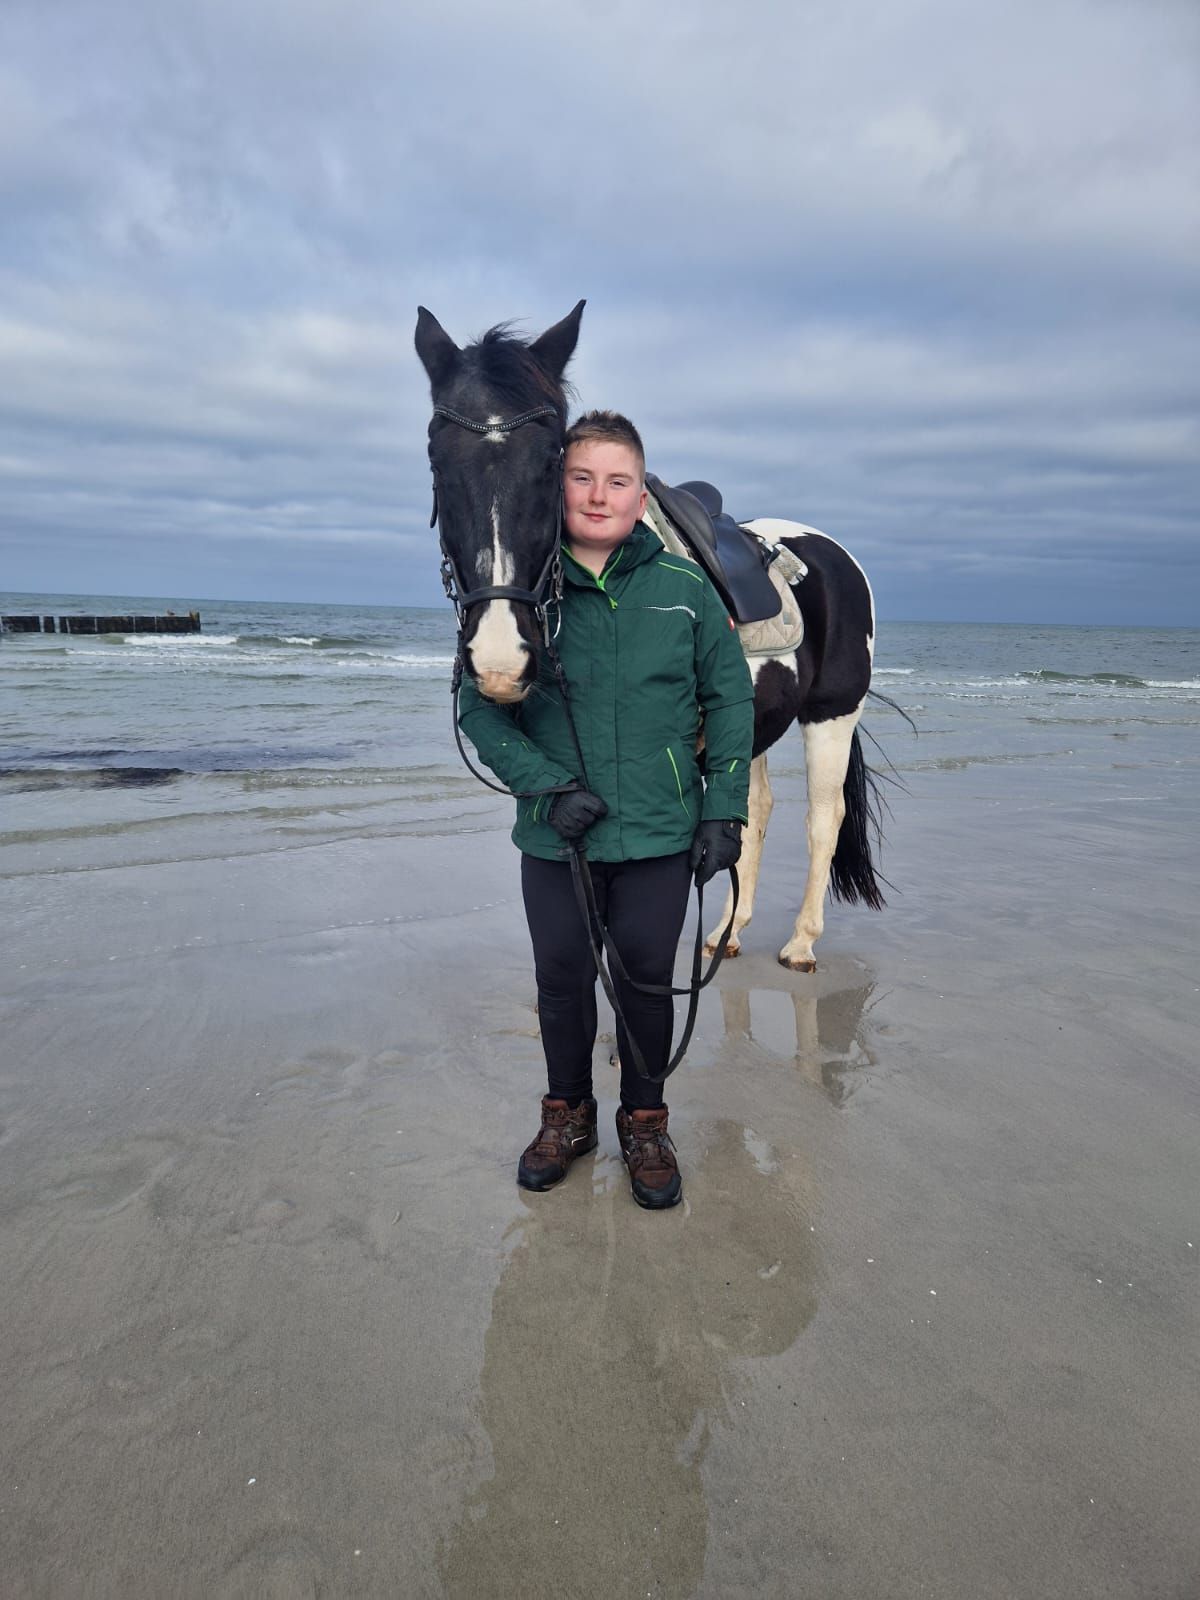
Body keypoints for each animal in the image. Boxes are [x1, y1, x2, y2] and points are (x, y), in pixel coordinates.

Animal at [415, 300, 885, 972]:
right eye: (438, 461)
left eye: (553, 462)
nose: (501, 659)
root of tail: (831, 552)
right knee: (756, 810)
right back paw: (725, 933)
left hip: (832, 714)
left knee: (825, 817)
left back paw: (800, 942)